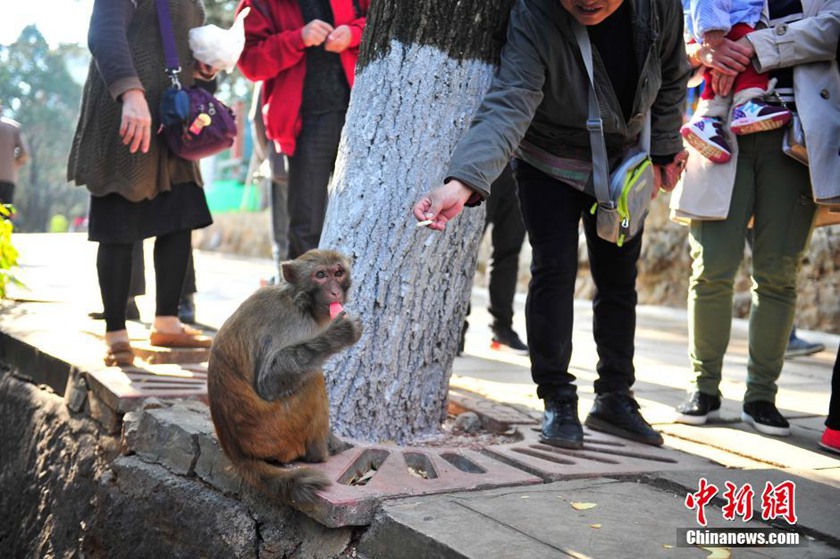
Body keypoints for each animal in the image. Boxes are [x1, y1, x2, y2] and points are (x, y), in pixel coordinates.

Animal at [208, 250, 362, 508]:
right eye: (320, 275)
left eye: (338, 272)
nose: (334, 292)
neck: (300, 301)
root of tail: (237, 453)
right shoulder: (290, 322)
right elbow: (268, 382)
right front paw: (339, 334)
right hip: (277, 431)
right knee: (312, 378)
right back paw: (318, 454)